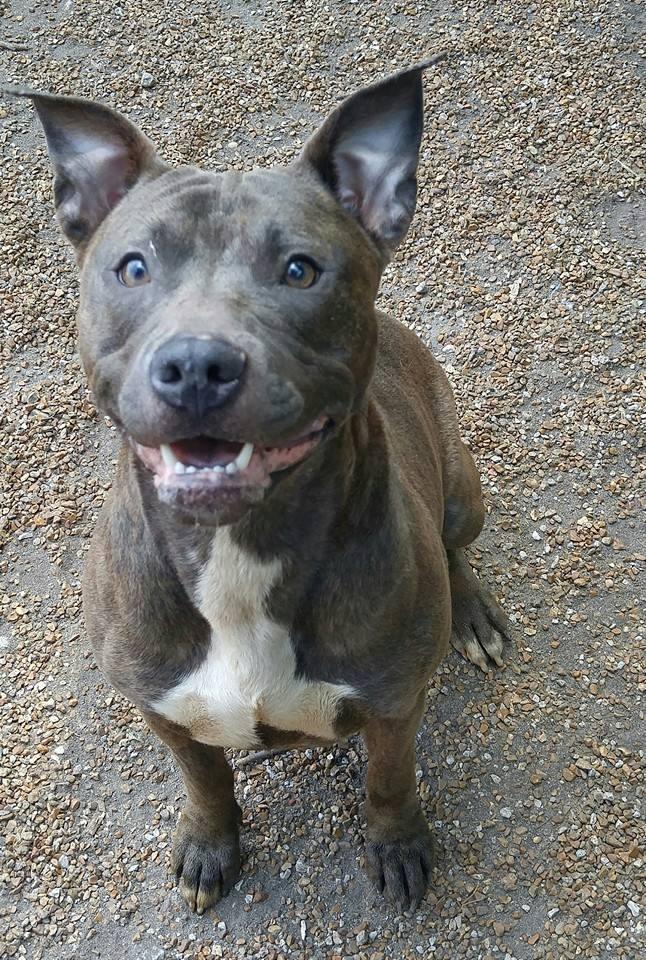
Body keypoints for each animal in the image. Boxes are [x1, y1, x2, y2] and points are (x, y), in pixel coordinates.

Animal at [8, 62, 512, 916]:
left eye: (300, 270)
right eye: (134, 267)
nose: (196, 365)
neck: (237, 550)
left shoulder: (392, 706)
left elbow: (389, 781)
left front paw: (399, 845)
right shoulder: (162, 710)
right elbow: (205, 781)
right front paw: (211, 846)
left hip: (460, 487)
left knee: (455, 547)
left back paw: (472, 615)